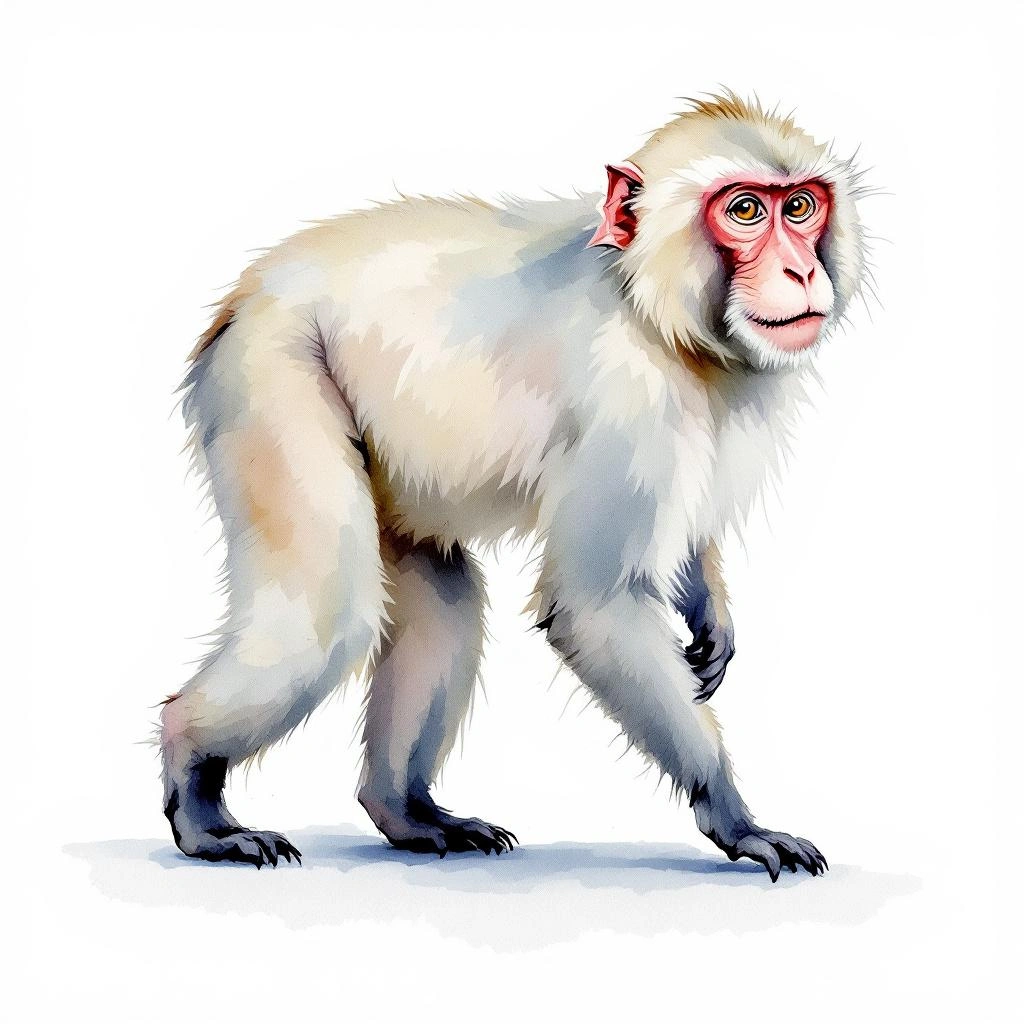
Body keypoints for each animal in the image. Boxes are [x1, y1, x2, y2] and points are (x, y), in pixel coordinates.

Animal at [159, 92, 867, 881]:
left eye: (800, 206)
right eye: (745, 210)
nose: (800, 271)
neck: (652, 308)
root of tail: (242, 299)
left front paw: (707, 613)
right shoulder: (632, 402)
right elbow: (593, 608)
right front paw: (734, 818)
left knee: (443, 596)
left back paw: (404, 812)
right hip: (268, 376)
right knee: (327, 618)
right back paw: (194, 785)